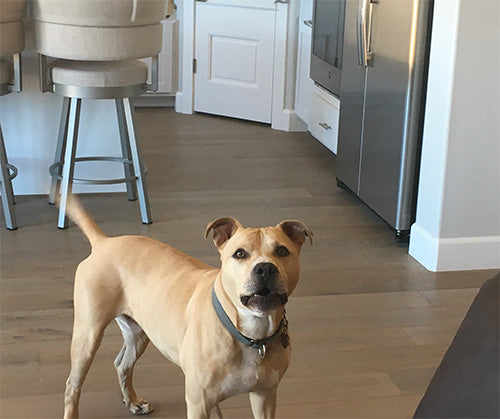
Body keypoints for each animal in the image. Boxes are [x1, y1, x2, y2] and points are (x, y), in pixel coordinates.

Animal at [63, 201, 312, 419]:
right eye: (239, 254)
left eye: (282, 251)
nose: (265, 268)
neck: (250, 333)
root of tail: (104, 242)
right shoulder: (199, 403)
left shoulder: (265, 396)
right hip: (88, 334)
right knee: (72, 385)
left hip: (139, 333)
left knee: (122, 364)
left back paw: (132, 402)